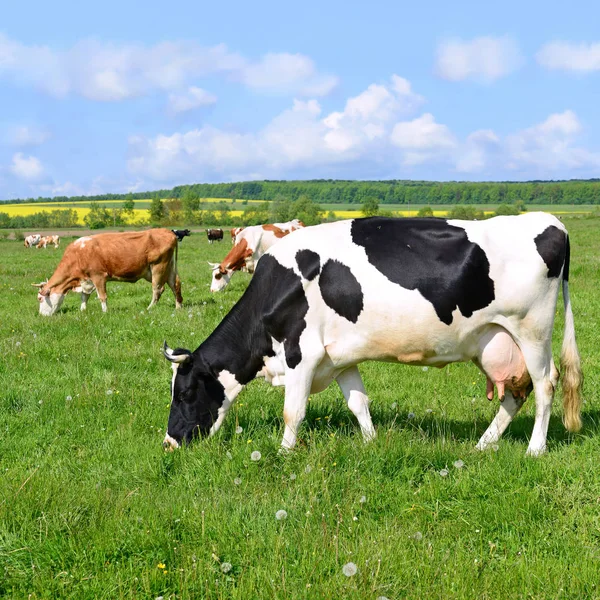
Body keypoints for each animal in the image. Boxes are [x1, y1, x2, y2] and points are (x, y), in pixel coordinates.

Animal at [32, 227, 182, 316]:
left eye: (40, 298)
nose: (41, 315)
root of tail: (167, 231)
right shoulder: (87, 280)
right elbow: (84, 297)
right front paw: (82, 310)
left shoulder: (98, 276)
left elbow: (102, 296)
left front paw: (105, 312)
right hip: (168, 268)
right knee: (175, 285)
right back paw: (178, 306)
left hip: (158, 267)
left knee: (158, 289)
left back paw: (149, 308)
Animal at [163, 214, 580, 454]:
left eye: (184, 393)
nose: (169, 443)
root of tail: (552, 222)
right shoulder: (339, 358)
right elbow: (358, 403)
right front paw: (370, 442)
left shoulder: (302, 354)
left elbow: (292, 412)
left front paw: (284, 454)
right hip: (496, 340)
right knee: (515, 393)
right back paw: (483, 445)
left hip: (532, 331)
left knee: (546, 384)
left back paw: (535, 449)